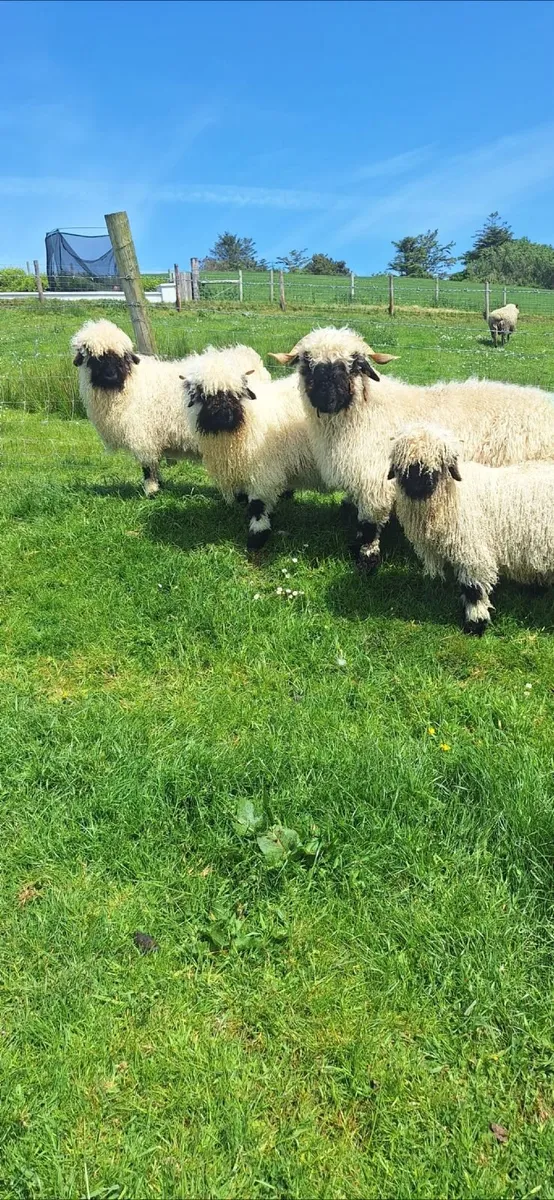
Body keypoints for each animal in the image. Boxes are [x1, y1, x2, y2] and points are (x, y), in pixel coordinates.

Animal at [71, 319, 269, 496]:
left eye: (122, 357)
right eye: (95, 358)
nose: (111, 376)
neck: (130, 384)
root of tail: (250, 357)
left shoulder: (143, 435)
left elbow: (148, 466)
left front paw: (151, 491)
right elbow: (154, 463)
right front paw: (160, 485)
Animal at [181, 346, 320, 549]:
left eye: (236, 393)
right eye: (203, 395)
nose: (222, 413)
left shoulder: (262, 471)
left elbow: (257, 505)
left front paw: (257, 536)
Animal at [270, 325, 554, 572]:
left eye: (353, 366)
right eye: (308, 365)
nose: (327, 399)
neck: (366, 413)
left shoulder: (375, 481)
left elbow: (369, 525)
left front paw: (366, 560)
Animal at [388, 423, 554, 633]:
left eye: (439, 463)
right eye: (404, 464)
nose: (418, 487)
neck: (454, 496)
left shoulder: (473, 550)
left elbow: (473, 589)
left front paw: (476, 622)